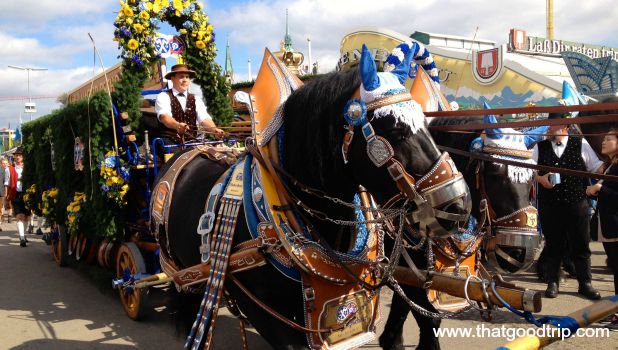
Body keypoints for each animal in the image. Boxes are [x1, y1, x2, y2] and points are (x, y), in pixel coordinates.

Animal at [155, 45, 466, 348]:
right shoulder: (267, 315)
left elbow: (426, 315)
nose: (458, 205)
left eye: (426, 123)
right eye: (397, 129)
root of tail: (184, 151)